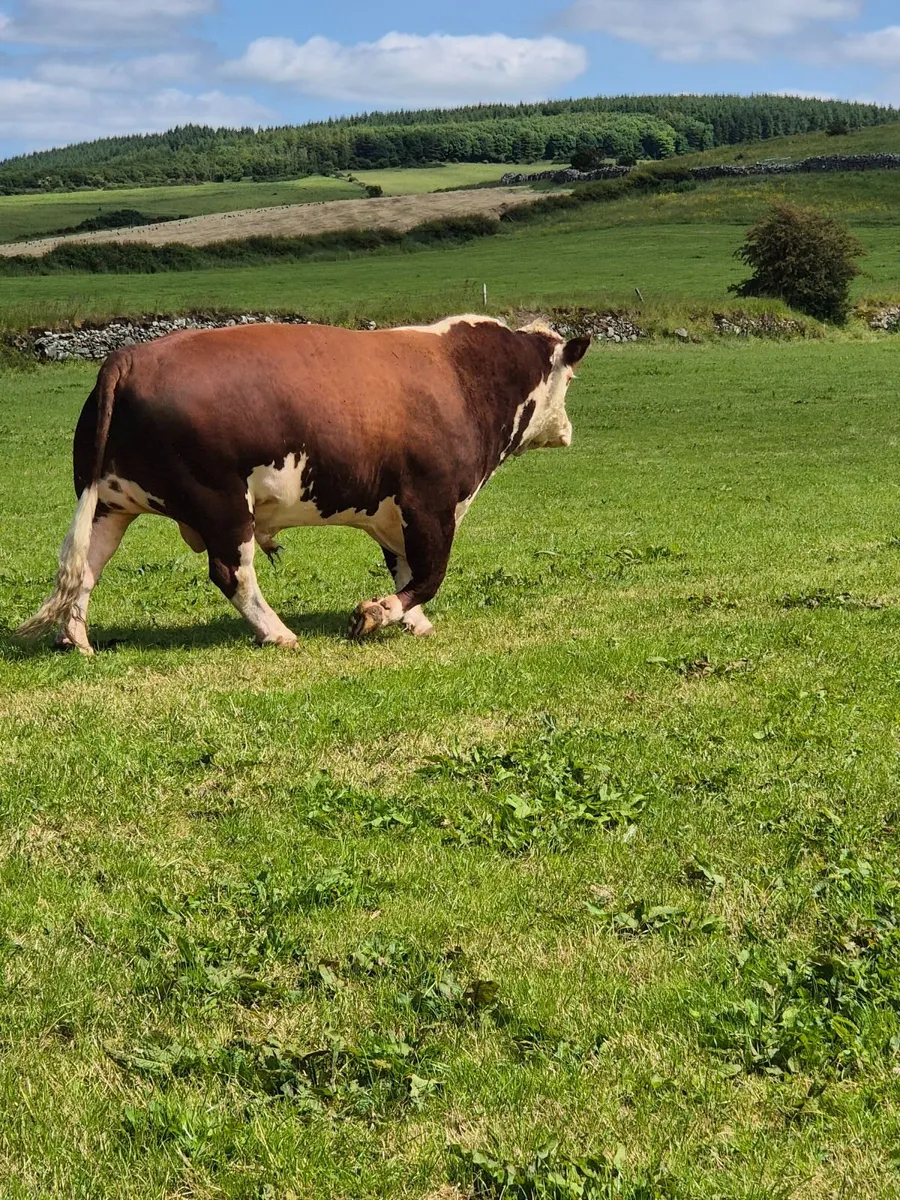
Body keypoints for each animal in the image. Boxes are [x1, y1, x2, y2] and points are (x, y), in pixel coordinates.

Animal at [17, 315, 590, 654]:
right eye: (571, 378)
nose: (568, 430)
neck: (468, 377)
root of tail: (126, 356)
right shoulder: (431, 502)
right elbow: (429, 573)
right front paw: (377, 614)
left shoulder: (394, 512)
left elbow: (407, 567)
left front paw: (412, 621)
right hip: (223, 503)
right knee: (232, 574)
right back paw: (279, 633)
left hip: (107, 503)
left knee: (84, 569)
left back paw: (77, 639)